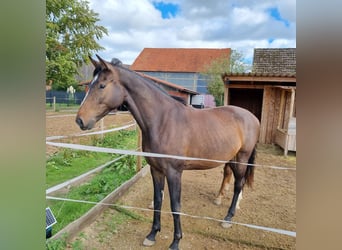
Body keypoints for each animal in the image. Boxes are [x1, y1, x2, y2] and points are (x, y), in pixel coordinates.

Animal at [76, 55, 260, 250]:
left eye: (102, 85)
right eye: (90, 85)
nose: (80, 120)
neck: (163, 121)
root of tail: (252, 118)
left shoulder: (174, 173)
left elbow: (175, 205)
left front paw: (176, 241)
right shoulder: (156, 170)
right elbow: (158, 200)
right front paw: (152, 234)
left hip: (242, 158)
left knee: (239, 184)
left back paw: (228, 217)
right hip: (231, 158)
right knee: (231, 177)